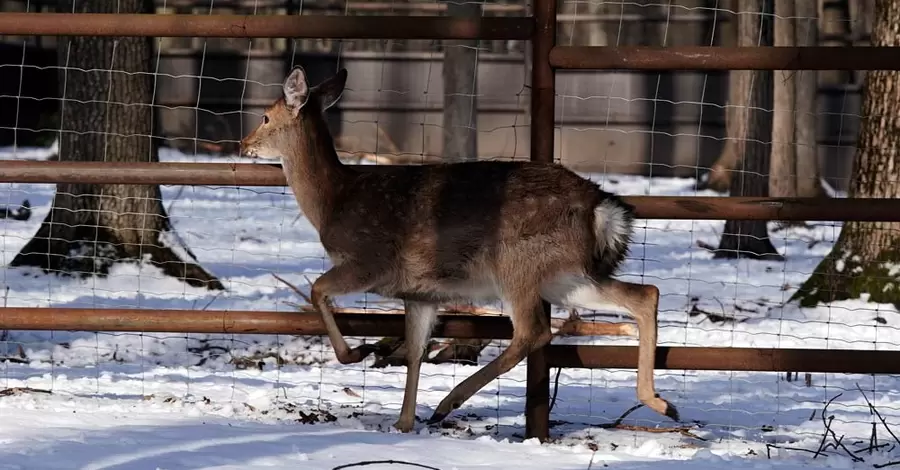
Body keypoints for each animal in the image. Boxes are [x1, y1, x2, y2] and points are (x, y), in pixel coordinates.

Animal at [239, 66, 676, 434]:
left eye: (265, 117)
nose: (243, 144)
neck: (334, 202)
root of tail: (601, 206)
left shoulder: (369, 262)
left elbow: (317, 290)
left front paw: (358, 352)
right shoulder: (420, 293)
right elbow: (415, 352)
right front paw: (402, 423)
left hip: (518, 262)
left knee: (533, 330)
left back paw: (448, 403)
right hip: (565, 274)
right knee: (644, 294)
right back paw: (661, 402)